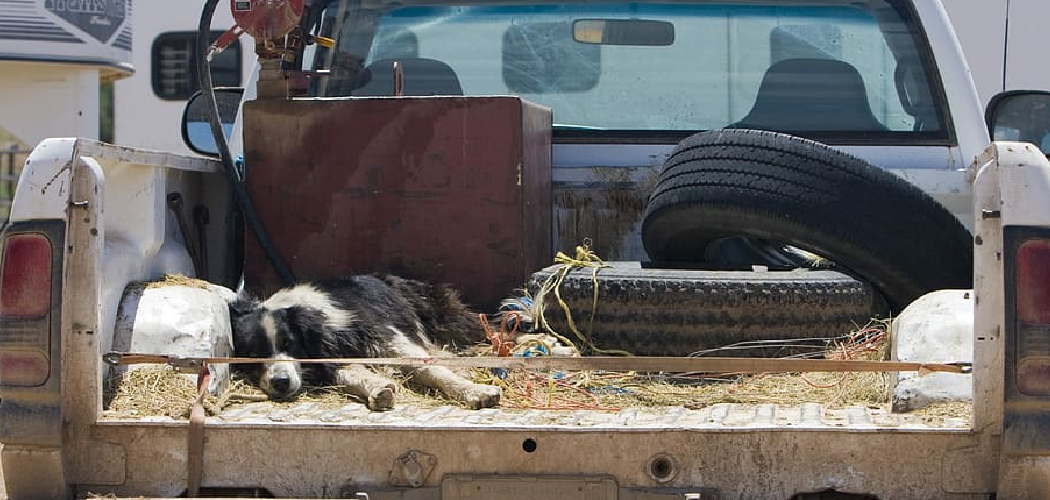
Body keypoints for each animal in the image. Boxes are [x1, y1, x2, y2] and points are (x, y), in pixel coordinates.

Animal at [232, 273, 501, 409]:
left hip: (445, 317)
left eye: (289, 344)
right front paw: (379, 388)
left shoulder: (387, 337)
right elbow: (349, 374)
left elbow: (430, 369)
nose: (281, 383)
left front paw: (475, 391)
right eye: (252, 355)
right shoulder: (330, 355)